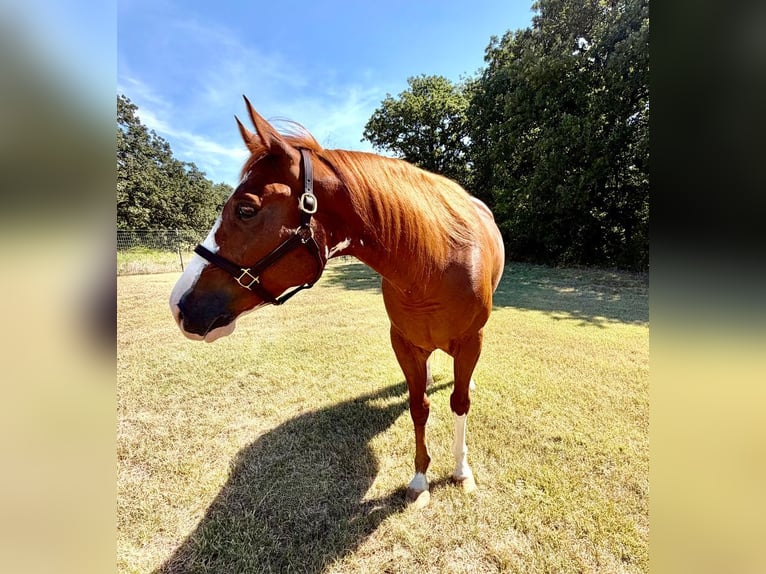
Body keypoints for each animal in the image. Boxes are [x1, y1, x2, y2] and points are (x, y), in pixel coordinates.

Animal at [170, 96, 505, 505]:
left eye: (245, 209)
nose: (179, 305)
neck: (433, 263)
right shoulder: (404, 345)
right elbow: (418, 407)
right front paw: (420, 479)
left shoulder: (471, 342)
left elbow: (458, 404)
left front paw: (460, 471)